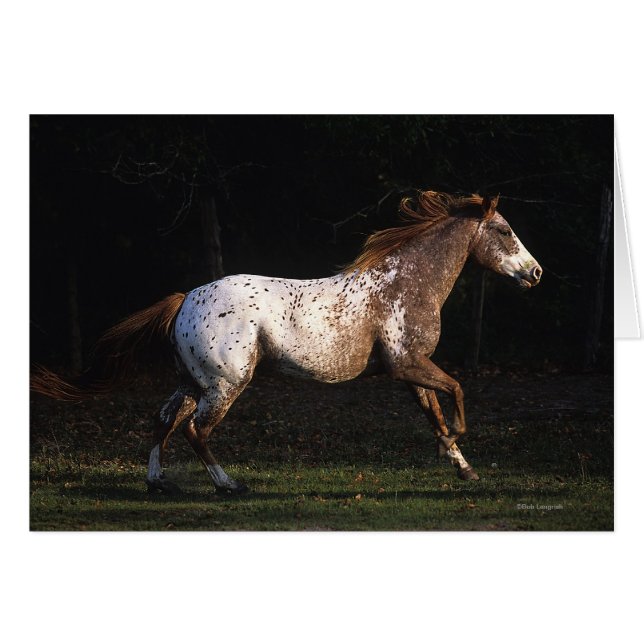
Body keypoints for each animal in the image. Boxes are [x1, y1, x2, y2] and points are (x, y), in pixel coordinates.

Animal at [31, 190, 542, 494]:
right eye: (504, 230)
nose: (536, 273)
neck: (405, 283)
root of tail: (186, 299)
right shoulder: (406, 364)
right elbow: (457, 390)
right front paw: (454, 444)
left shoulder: (412, 369)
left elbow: (434, 410)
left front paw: (462, 465)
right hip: (225, 384)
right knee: (197, 430)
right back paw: (229, 485)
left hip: (192, 382)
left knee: (163, 420)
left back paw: (158, 483)